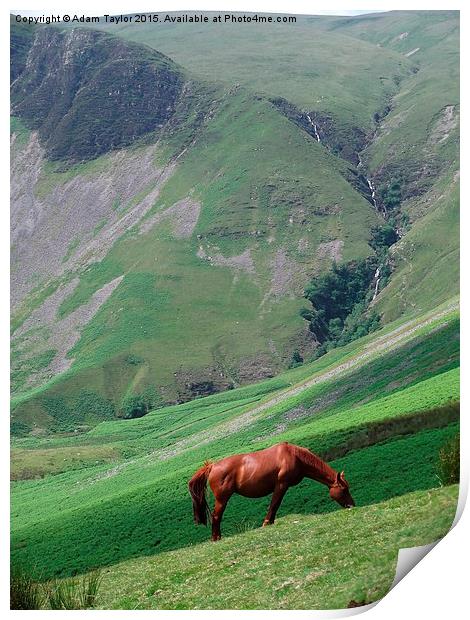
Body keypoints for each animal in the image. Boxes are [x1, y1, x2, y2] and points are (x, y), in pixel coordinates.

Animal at [189, 440, 354, 536]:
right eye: (344, 490)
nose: (352, 505)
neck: (295, 456)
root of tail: (212, 466)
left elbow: (275, 505)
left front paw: (270, 523)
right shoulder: (281, 484)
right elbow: (275, 504)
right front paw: (267, 523)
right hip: (222, 498)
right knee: (216, 517)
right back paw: (216, 538)